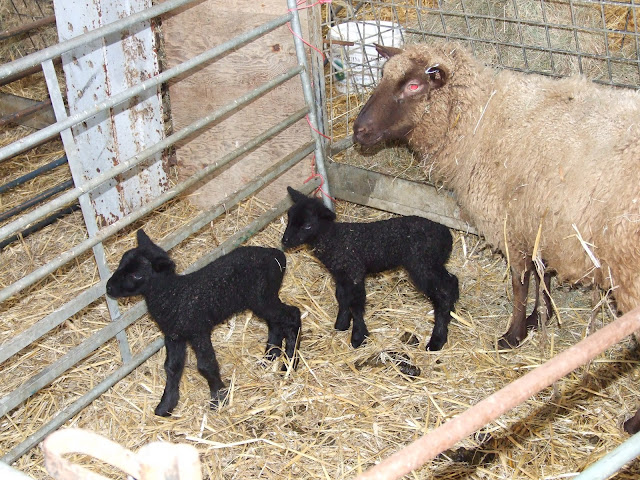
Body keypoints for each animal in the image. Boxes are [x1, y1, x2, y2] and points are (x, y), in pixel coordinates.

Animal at [106, 229, 301, 416]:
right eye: (121, 262)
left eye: (136, 275)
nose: (108, 287)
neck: (173, 295)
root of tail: (277, 255)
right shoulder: (174, 335)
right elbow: (172, 368)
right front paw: (166, 406)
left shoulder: (197, 330)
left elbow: (206, 366)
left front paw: (218, 399)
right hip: (261, 299)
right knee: (275, 323)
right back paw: (270, 356)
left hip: (262, 296)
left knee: (293, 315)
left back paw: (289, 364)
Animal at [281, 186, 459, 351]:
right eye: (289, 216)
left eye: (307, 226)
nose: (285, 241)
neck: (333, 240)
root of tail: (447, 237)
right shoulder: (343, 275)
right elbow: (342, 298)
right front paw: (342, 324)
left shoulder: (354, 272)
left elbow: (356, 304)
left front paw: (358, 336)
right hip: (432, 264)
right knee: (451, 281)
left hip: (422, 264)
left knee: (443, 293)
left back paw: (437, 340)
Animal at [352, 42, 640, 432]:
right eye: (382, 76)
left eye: (413, 86)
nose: (358, 131)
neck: (482, 117)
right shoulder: (537, 221)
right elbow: (542, 276)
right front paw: (539, 318)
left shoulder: (509, 222)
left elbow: (520, 282)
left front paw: (512, 336)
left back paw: (632, 423)